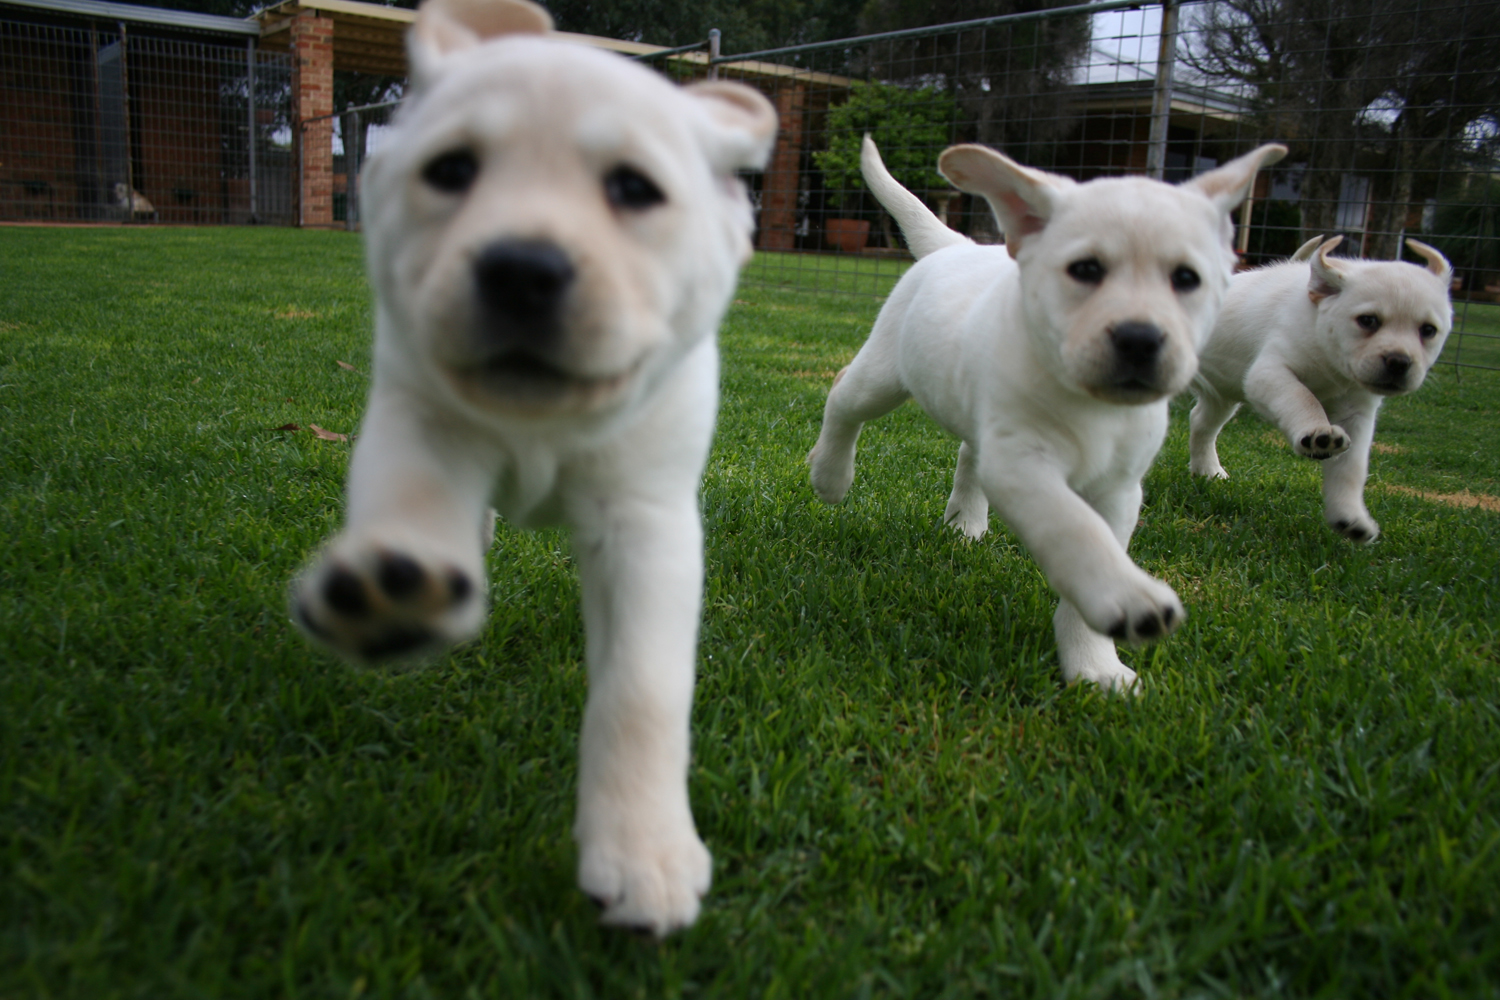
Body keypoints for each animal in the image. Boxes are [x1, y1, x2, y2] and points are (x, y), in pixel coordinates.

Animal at [288, 0, 780, 941]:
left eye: (634, 189)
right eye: (452, 170)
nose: (520, 267)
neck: (543, 425)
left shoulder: (648, 517)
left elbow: (642, 689)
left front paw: (644, 855)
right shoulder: (417, 413)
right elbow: (413, 499)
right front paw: (395, 594)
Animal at [816, 137, 1284, 692]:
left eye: (1186, 279)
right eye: (1086, 269)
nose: (1140, 339)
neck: (1090, 401)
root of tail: (957, 246)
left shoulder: (1118, 489)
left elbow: (1096, 549)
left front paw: (1095, 664)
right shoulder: (1023, 464)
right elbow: (1073, 530)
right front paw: (1129, 601)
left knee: (968, 455)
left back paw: (965, 522)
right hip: (885, 374)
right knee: (844, 396)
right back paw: (830, 475)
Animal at [1182, 232, 1452, 542]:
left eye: (1428, 330)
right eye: (1368, 320)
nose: (1399, 362)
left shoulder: (1357, 411)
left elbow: (1350, 469)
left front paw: (1350, 517)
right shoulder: (1269, 373)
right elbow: (1302, 397)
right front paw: (1317, 433)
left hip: (1222, 391)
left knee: (1200, 421)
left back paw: (1208, 471)